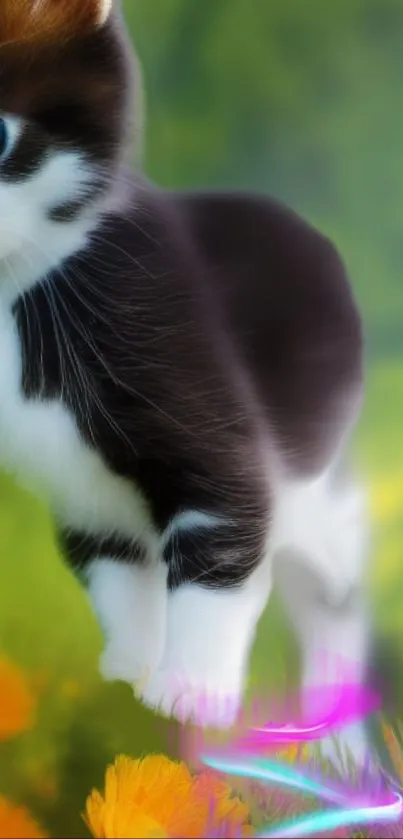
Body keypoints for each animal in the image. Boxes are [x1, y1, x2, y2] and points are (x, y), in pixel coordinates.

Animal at [0, 0, 372, 764]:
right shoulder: (79, 488)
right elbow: (111, 562)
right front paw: (133, 670)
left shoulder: (190, 382)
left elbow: (224, 526)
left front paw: (193, 691)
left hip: (316, 471)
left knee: (333, 568)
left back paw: (340, 733)